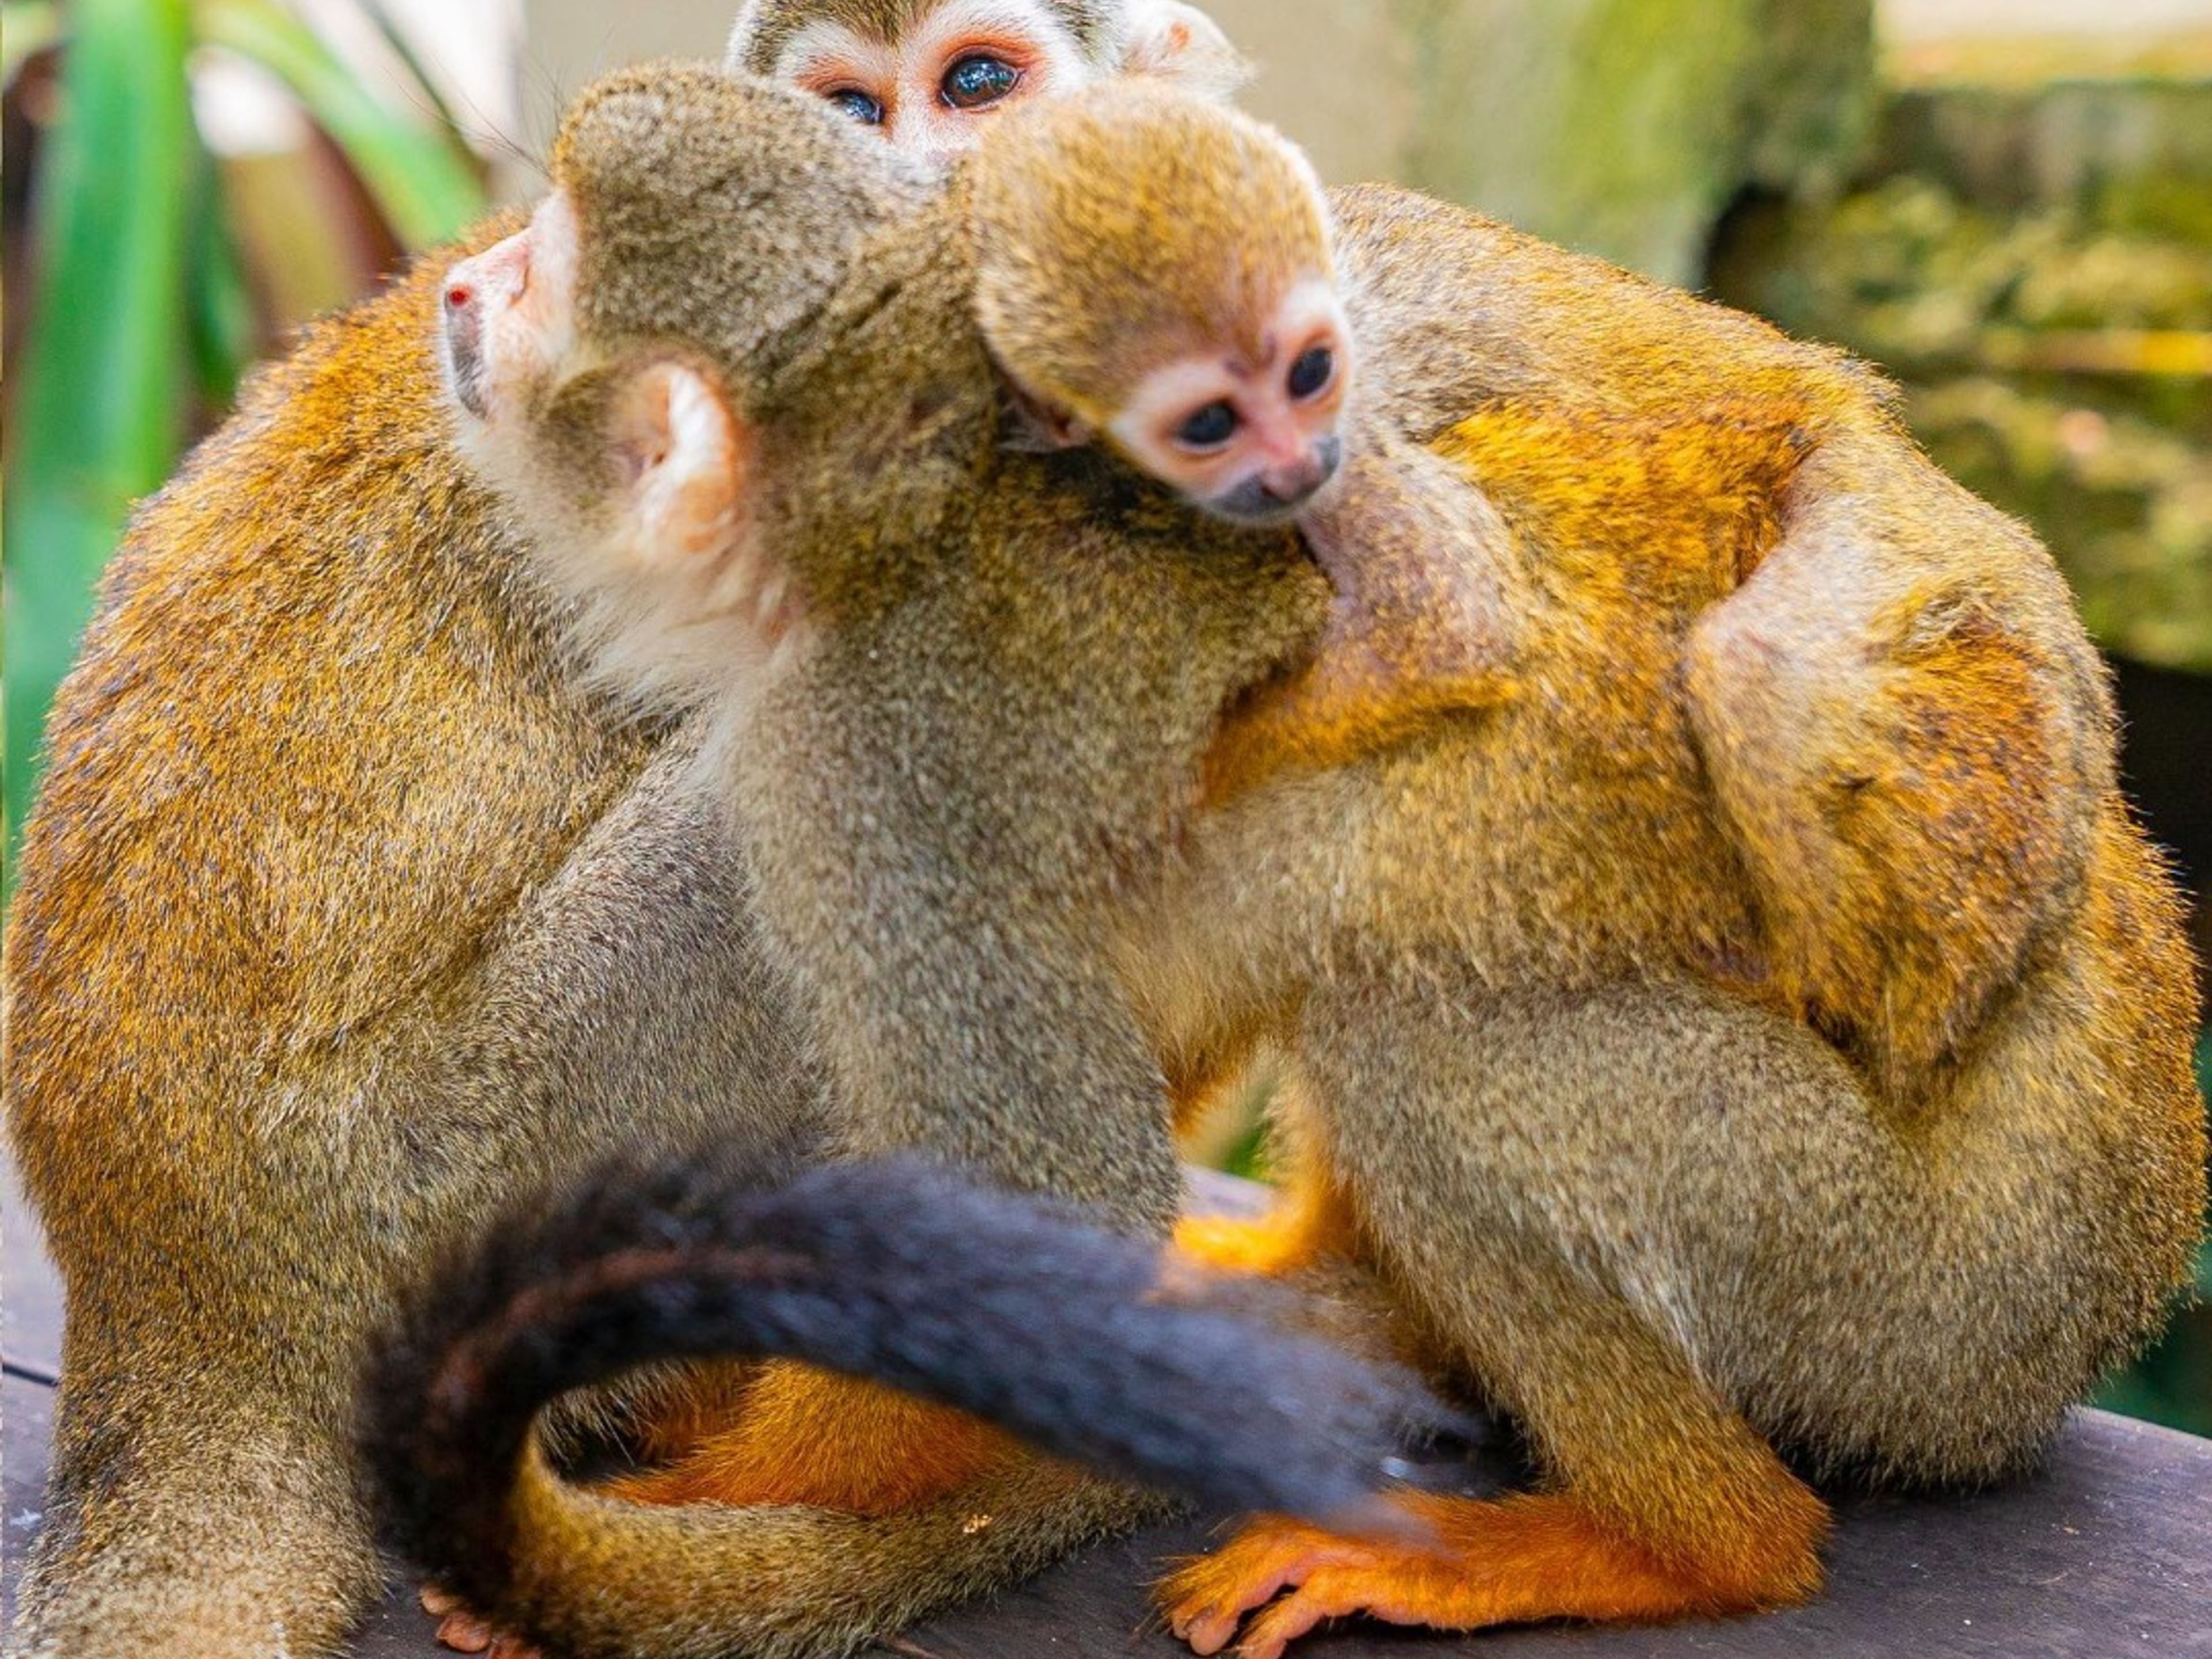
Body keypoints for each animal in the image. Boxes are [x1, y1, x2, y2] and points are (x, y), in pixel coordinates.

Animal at [455, 66, 2204, 1655]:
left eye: (539, 272)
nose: (461, 293)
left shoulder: (858, 775)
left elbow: (1042, 1199)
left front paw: (719, 1500)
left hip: (1907, 1299)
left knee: (1436, 1048)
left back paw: (1685, 1545)